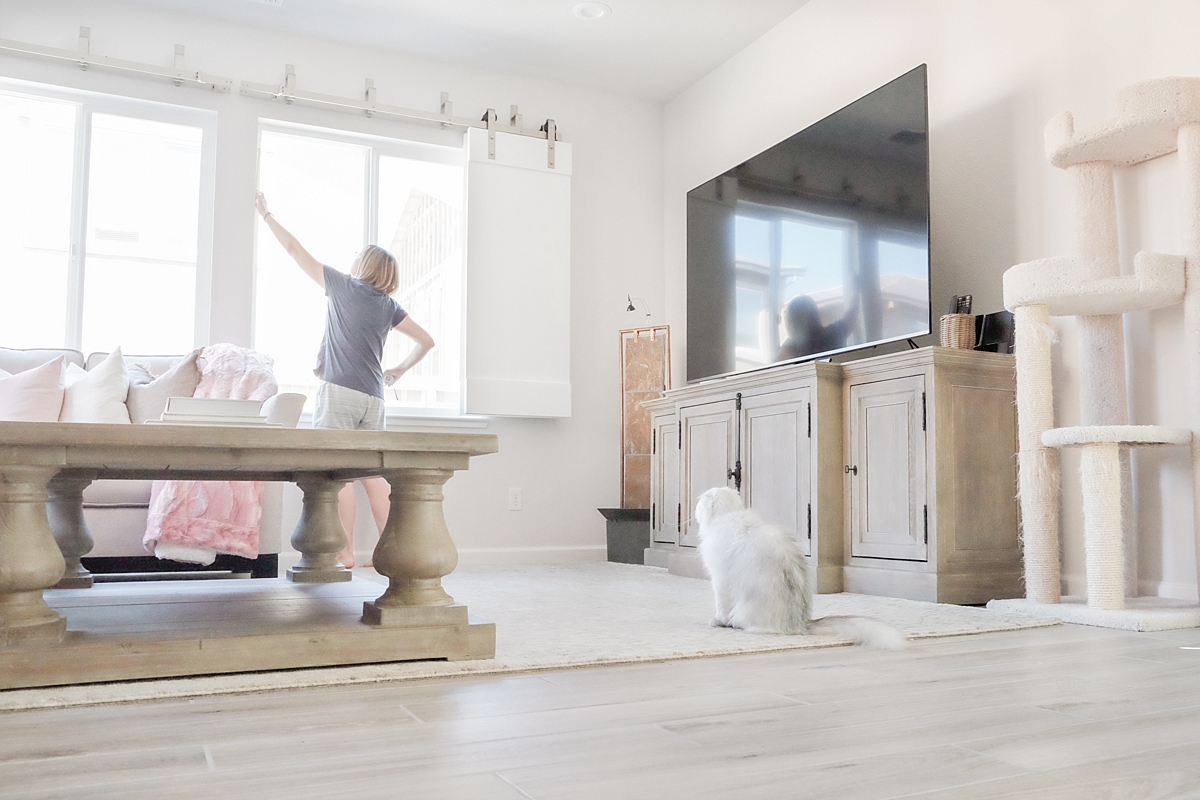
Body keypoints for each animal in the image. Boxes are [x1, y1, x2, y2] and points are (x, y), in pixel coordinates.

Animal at [700, 489, 902, 652]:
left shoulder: (720, 580)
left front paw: (717, 622)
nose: (699, 499)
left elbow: (721, 607)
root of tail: (799, 624)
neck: (731, 515)